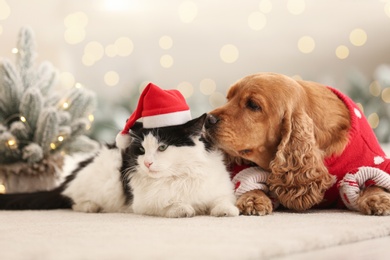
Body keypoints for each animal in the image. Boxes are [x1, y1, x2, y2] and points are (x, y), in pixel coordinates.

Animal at [0, 114, 238, 217]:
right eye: (141, 150)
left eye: (162, 147)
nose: (147, 162)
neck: (179, 176)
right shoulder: (143, 204)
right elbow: (169, 205)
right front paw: (183, 208)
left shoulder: (219, 190)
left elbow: (222, 202)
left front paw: (227, 211)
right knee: (72, 199)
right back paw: (90, 206)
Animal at [204, 71, 390, 215]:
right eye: (228, 98)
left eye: (253, 105)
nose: (207, 119)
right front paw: (253, 198)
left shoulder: (372, 162)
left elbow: (374, 181)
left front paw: (378, 198)